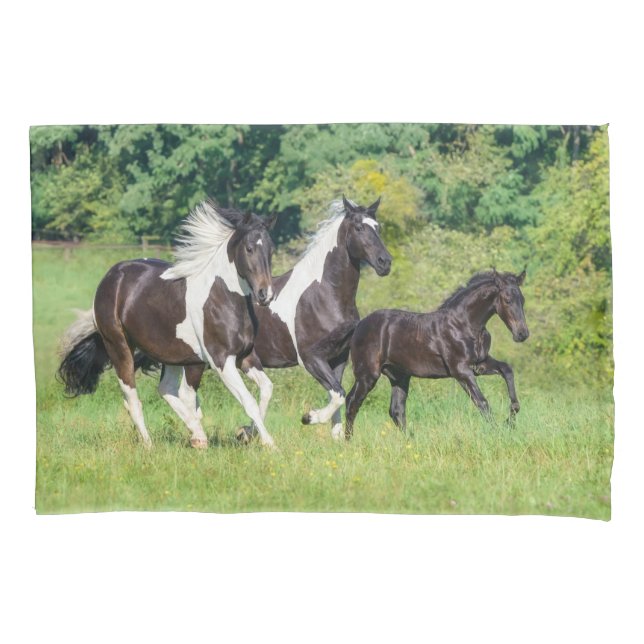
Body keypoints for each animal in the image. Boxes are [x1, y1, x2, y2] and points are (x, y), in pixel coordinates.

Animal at [57, 200, 278, 449]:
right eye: (249, 248)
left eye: (270, 250)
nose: (265, 294)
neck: (222, 298)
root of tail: (112, 276)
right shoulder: (222, 361)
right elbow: (249, 401)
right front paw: (271, 445)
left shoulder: (245, 357)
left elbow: (266, 390)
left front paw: (246, 433)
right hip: (119, 347)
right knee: (133, 398)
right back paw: (151, 445)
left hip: (173, 354)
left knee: (167, 389)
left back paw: (196, 435)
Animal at [188, 195, 393, 440]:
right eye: (359, 228)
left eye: (378, 227)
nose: (385, 262)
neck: (324, 294)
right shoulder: (310, 357)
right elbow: (338, 394)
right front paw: (309, 417)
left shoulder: (339, 357)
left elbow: (336, 395)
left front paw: (336, 438)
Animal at [344, 269, 529, 438]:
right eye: (507, 300)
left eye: (522, 300)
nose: (522, 334)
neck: (464, 325)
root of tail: (359, 326)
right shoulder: (461, 371)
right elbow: (482, 402)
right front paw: (499, 433)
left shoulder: (480, 364)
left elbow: (507, 370)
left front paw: (511, 420)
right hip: (367, 375)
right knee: (352, 402)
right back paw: (348, 441)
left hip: (399, 376)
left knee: (396, 410)